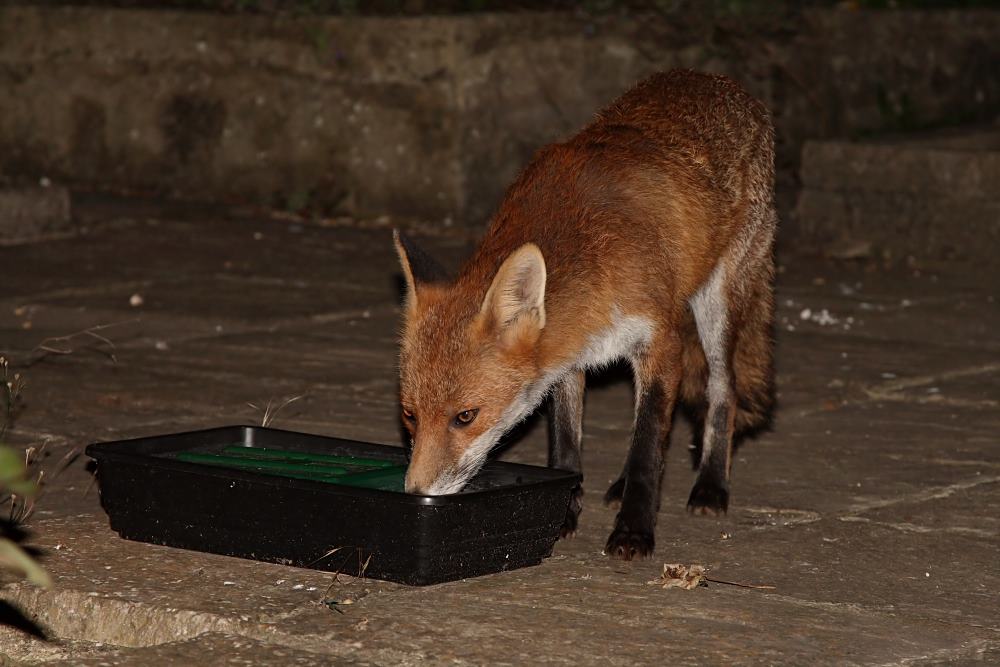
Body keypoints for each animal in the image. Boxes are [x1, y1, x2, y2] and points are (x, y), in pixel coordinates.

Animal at [393, 69, 776, 560]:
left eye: (465, 416)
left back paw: (711, 485)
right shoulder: (567, 358)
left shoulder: (660, 342)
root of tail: (715, 79)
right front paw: (564, 514)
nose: (414, 493)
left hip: (716, 303)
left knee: (721, 389)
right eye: (409, 415)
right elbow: (566, 445)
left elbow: (647, 447)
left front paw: (633, 531)